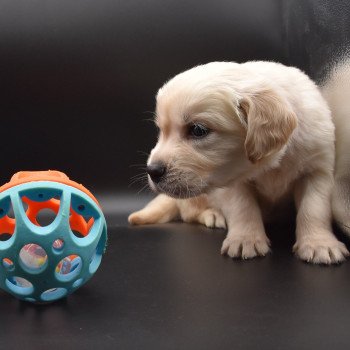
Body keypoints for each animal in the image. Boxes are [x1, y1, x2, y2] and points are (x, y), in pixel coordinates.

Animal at [129, 62, 350, 266]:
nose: (152, 170)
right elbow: (243, 207)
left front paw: (320, 244)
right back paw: (212, 214)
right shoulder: (231, 181)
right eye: (161, 130)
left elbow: (314, 208)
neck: (269, 164)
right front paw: (246, 240)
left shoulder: (317, 169)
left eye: (198, 130)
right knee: (190, 212)